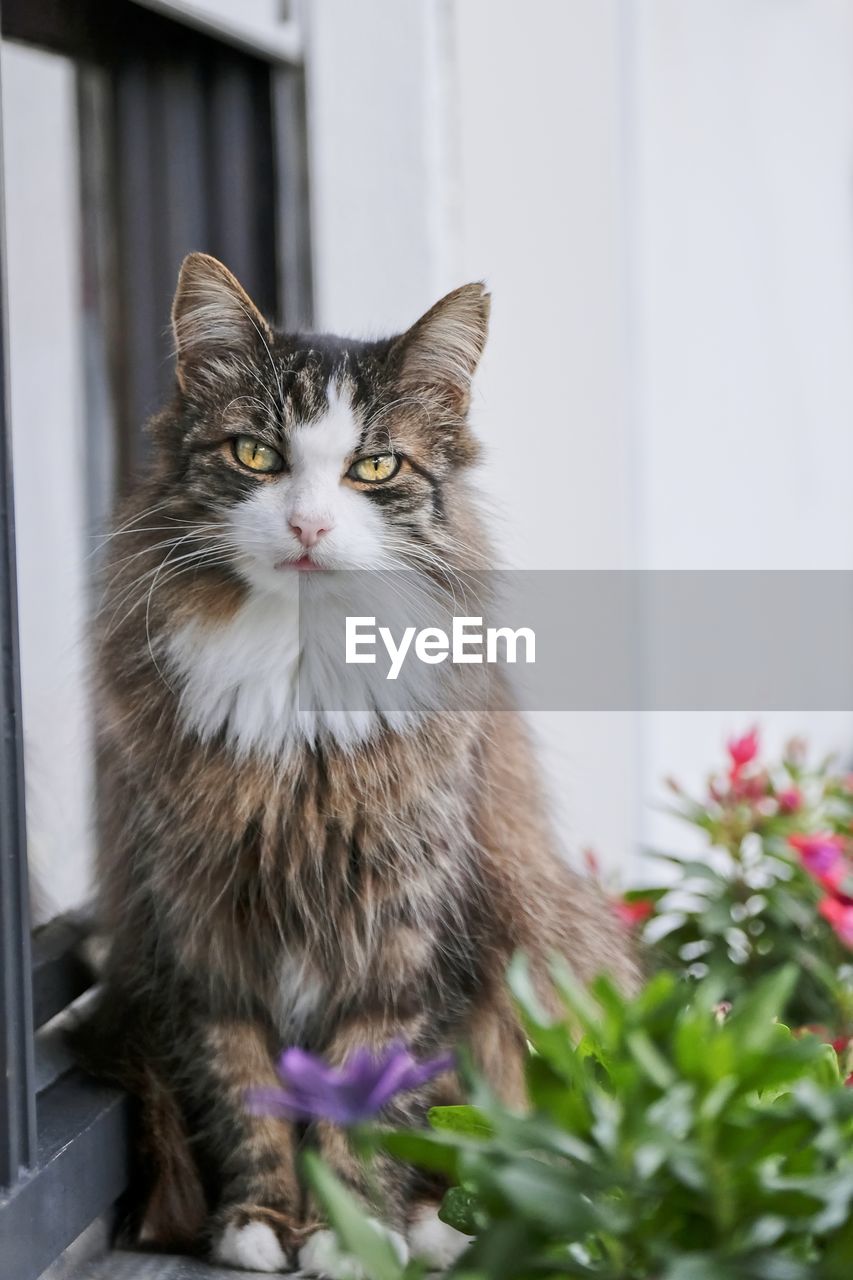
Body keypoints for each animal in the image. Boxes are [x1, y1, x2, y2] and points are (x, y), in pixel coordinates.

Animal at [84, 249, 637, 1269]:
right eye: (255, 456)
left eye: (374, 466)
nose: (308, 527)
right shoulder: (205, 936)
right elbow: (245, 1090)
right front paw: (263, 1223)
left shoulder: (405, 936)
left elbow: (368, 1098)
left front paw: (352, 1232)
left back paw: (435, 1224)